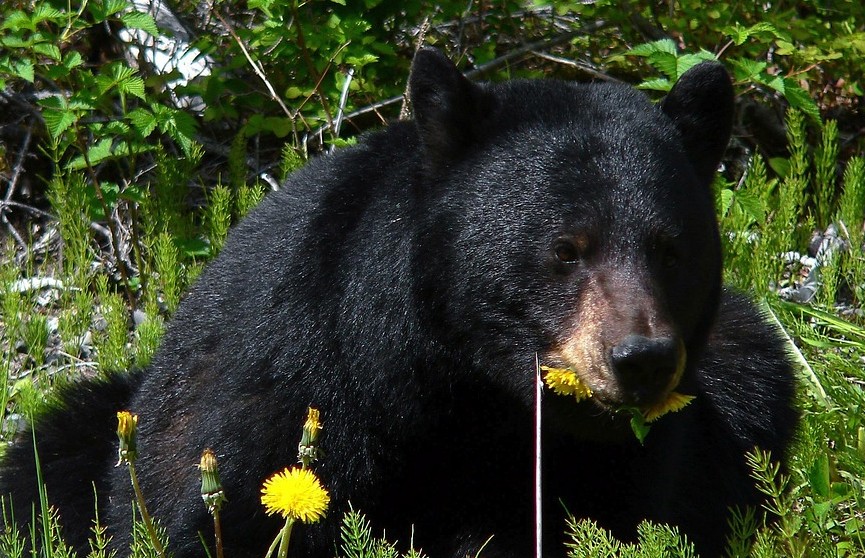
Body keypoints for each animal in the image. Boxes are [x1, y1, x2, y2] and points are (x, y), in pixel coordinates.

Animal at [1, 49, 796, 558]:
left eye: (670, 247)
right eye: (566, 248)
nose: (641, 359)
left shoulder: (624, 460)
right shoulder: (289, 384)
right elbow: (219, 512)